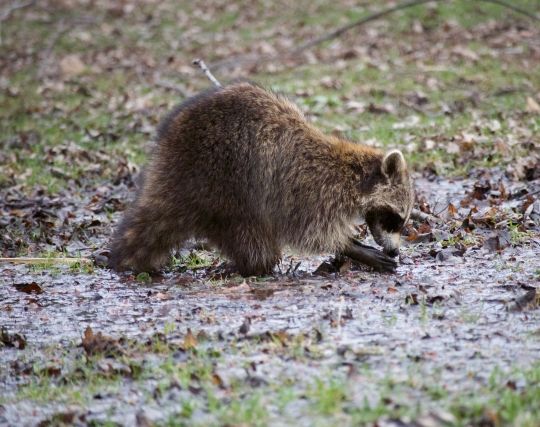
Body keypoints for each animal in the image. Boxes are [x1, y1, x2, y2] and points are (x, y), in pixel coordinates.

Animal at [108, 83, 414, 278]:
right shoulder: (309, 185)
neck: (354, 174)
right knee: (252, 235)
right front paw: (351, 246)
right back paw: (255, 267)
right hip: (228, 181)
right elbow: (310, 229)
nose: (395, 251)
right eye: (396, 219)